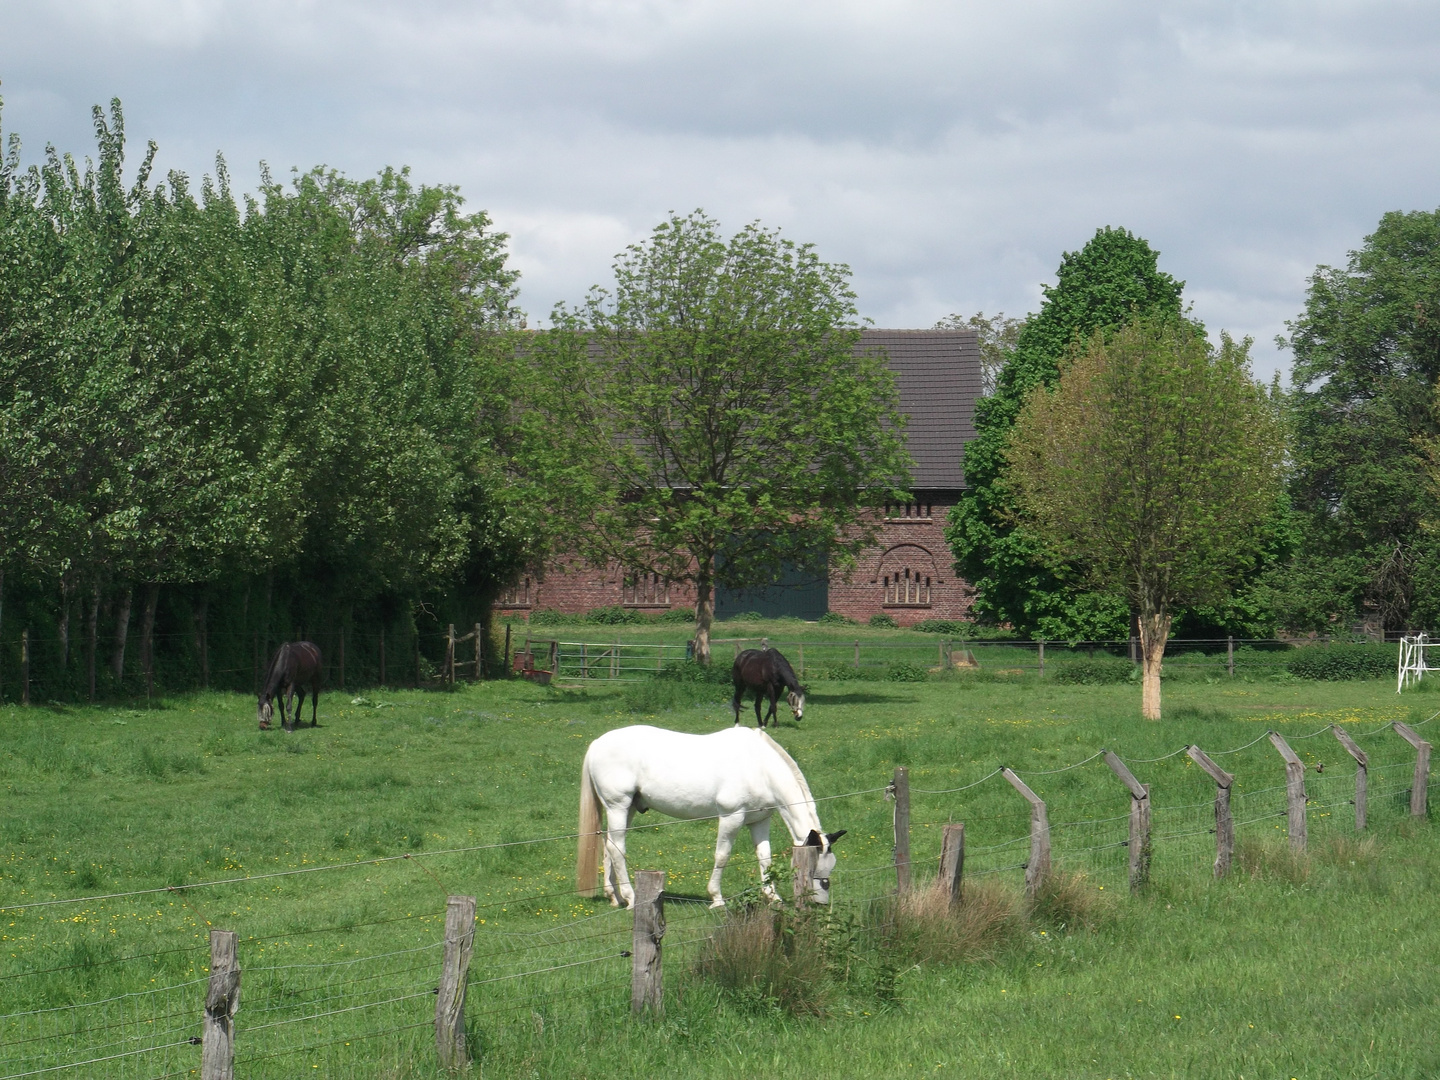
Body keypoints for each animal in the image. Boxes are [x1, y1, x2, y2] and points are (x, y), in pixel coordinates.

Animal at [573, 728, 840, 915]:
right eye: (818, 873)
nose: (820, 904)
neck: (759, 767)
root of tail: (596, 744)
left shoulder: (759, 821)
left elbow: (765, 858)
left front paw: (772, 897)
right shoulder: (731, 817)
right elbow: (722, 856)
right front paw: (716, 898)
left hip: (626, 809)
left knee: (609, 847)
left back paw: (615, 897)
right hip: (618, 807)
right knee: (617, 849)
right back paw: (630, 898)